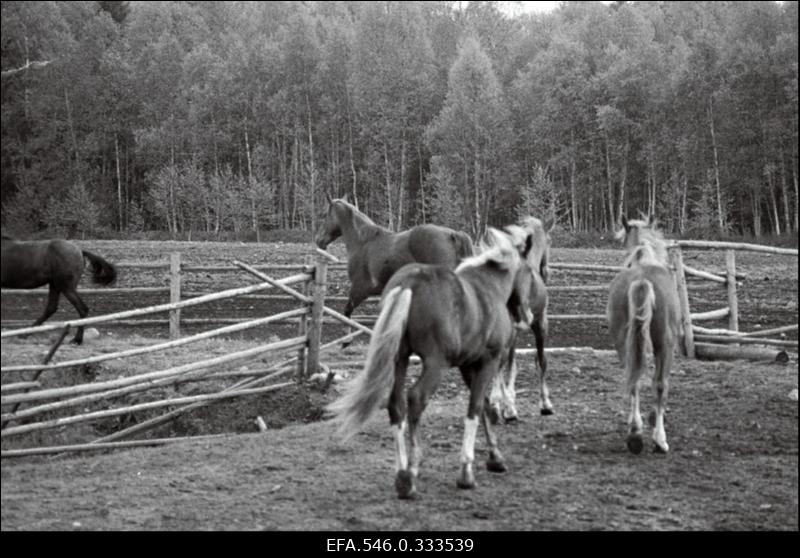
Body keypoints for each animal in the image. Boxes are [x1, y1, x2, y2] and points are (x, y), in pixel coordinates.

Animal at [312, 199, 476, 334]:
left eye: (324, 216)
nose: (318, 240)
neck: (363, 242)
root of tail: (453, 234)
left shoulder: (360, 289)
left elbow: (347, 313)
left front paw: (346, 341)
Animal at [324, 230, 536, 500]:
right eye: (530, 271)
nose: (527, 316)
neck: (488, 289)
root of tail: (408, 284)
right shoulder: (488, 361)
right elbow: (476, 407)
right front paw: (466, 472)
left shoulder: (468, 365)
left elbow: (485, 406)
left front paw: (495, 458)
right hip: (435, 365)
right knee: (416, 399)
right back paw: (411, 473)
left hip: (400, 359)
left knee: (396, 404)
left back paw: (402, 472)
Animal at [488, 217, 556, 422]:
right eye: (550, 240)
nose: (546, 272)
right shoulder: (541, 324)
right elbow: (540, 361)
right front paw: (545, 404)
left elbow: (512, 364)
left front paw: (503, 402)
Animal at [608, 214, 680, 456]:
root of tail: (642, 280)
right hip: (664, 344)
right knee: (660, 385)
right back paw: (660, 440)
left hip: (623, 342)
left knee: (634, 380)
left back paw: (635, 434)